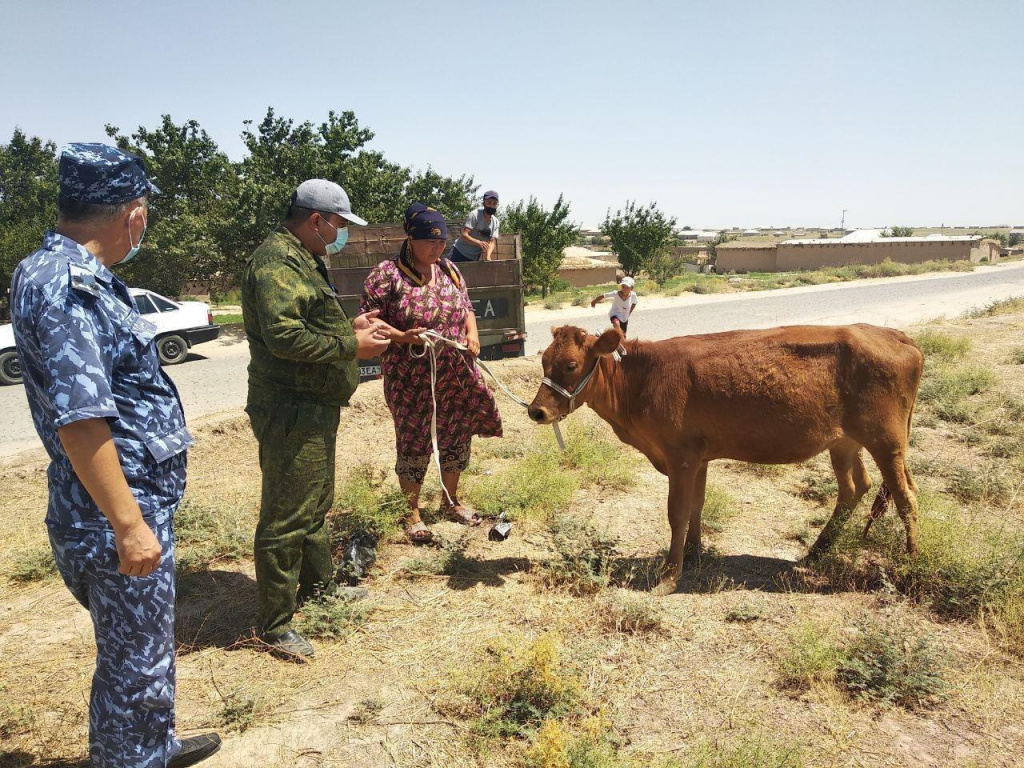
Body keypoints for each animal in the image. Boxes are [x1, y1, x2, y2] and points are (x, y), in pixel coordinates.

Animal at [532, 325, 925, 593]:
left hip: (887, 442)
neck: (641, 382)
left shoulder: (681, 457)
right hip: (844, 442)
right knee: (855, 487)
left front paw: (669, 576)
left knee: (906, 498)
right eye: (544, 361)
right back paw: (816, 552)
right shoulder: (700, 457)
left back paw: (910, 566)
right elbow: (697, 506)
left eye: (571, 365)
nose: (536, 411)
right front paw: (693, 553)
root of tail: (894, 335)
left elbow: (677, 513)